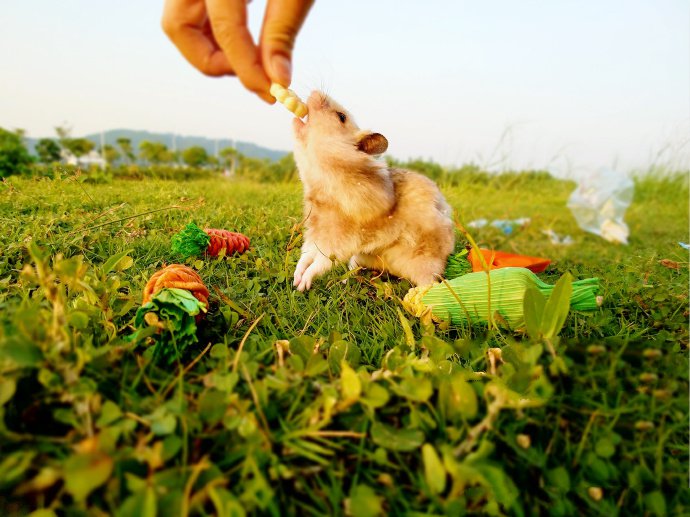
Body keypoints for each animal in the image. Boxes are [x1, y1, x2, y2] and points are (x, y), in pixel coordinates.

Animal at [292, 91, 456, 292]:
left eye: (341, 117)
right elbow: (306, 255)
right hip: (364, 256)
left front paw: (302, 285)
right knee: (354, 265)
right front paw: (296, 279)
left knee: (430, 281)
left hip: (426, 262)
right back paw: (345, 281)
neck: (323, 184)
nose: (314, 92)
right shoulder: (315, 231)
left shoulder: (340, 240)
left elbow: (320, 262)